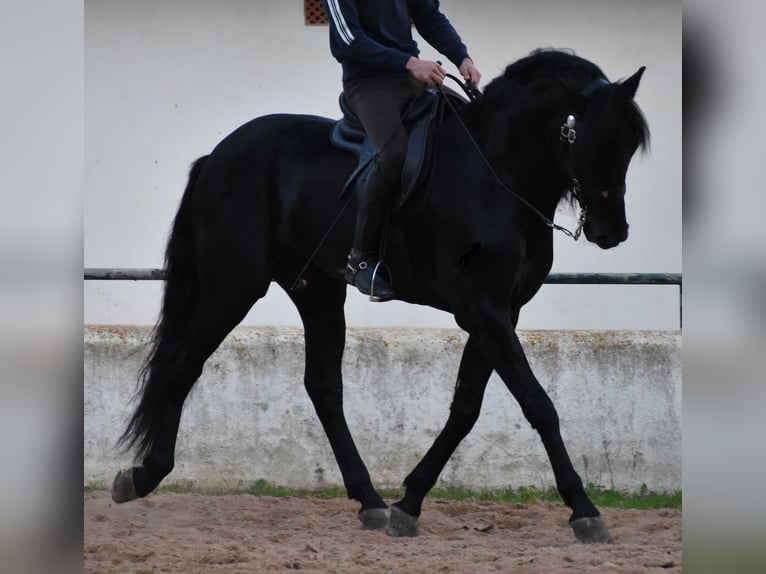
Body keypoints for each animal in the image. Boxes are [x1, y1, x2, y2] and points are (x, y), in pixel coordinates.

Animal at [112, 48, 648, 544]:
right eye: (585, 136)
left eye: (628, 145)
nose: (613, 232)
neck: (496, 173)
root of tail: (219, 156)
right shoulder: (483, 310)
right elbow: (538, 405)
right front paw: (584, 510)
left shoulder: (500, 312)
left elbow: (466, 408)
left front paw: (409, 502)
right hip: (233, 285)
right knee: (183, 363)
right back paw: (142, 476)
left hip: (316, 291)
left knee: (323, 387)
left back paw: (369, 500)